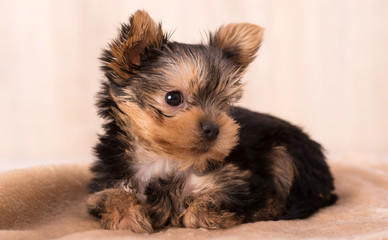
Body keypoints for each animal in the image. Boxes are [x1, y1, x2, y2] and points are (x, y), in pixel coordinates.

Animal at [88, 9, 336, 232]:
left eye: (223, 103)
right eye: (173, 98)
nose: (213, 129)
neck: (168, 159)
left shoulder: (237, 180)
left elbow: (205, 206)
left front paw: (209, 215)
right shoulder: (108, 181)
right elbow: (111, 197)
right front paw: (129, 217)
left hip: (286, 152)